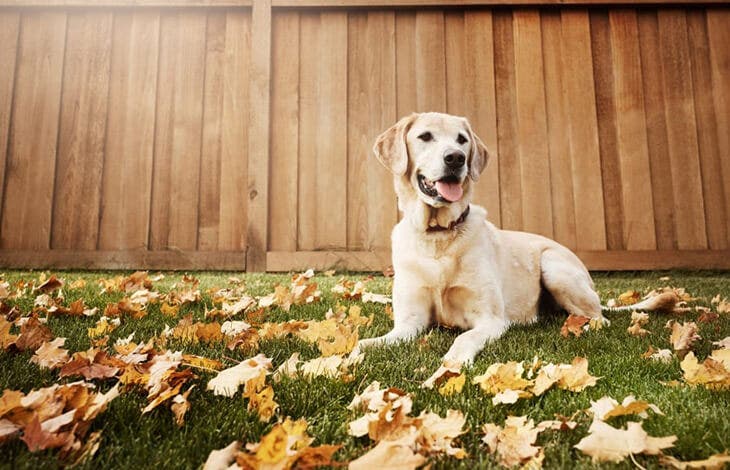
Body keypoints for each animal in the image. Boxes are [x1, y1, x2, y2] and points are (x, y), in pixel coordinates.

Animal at [352, 112, 672, 380]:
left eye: (462, 139)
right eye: (425, 136)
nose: (456, 158)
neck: (438, 237)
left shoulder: (490, 320)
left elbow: (463, 338)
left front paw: (450, 366)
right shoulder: (408, 323)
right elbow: (365, 343)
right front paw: (345, 359)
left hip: (554, 268)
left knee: (599, 318)